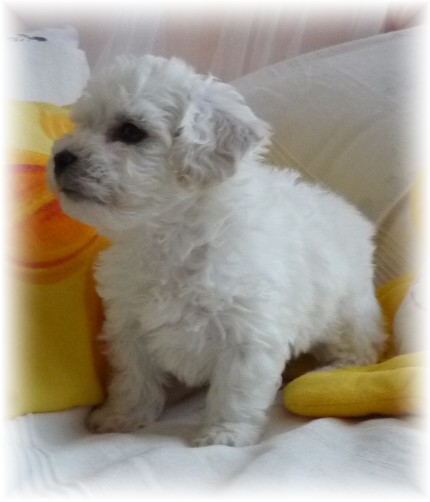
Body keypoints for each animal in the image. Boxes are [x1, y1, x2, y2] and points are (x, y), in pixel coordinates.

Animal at [48, 55, 386, 447]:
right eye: (81, 125)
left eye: (131, 132)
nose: (61, 157)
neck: (169, 234)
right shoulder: (129, 326)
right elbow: (134, 378)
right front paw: (122, 416)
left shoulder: (248, 332)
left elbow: (235, 389)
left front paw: (224, 434)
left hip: (348, 311)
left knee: (363, 346)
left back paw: (334, 370)